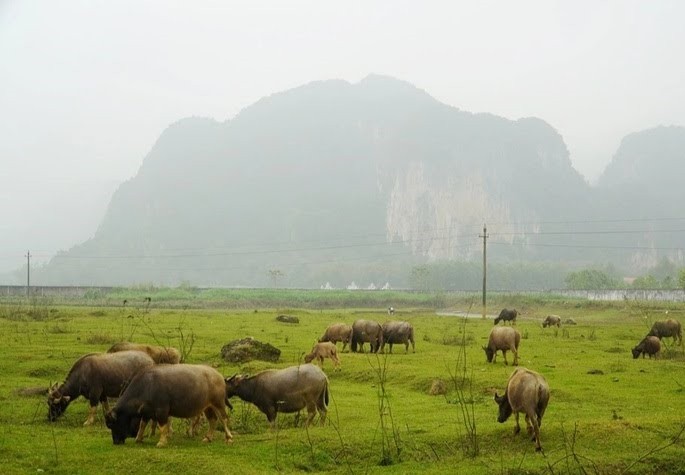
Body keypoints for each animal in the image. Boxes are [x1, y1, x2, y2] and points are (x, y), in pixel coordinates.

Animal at [101, 364, 230, 446]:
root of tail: (219, 376)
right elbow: (142, 425)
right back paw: (208, 438)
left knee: (224, 418)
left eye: (112, 424)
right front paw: (138, 438)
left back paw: (229, 438)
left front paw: (162, 442)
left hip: (218, 402)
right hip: (208, 406)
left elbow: (162, 426)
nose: (116, 442)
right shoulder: (146, 412)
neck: (147, 386)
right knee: (213, 420)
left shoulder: (161, 410)